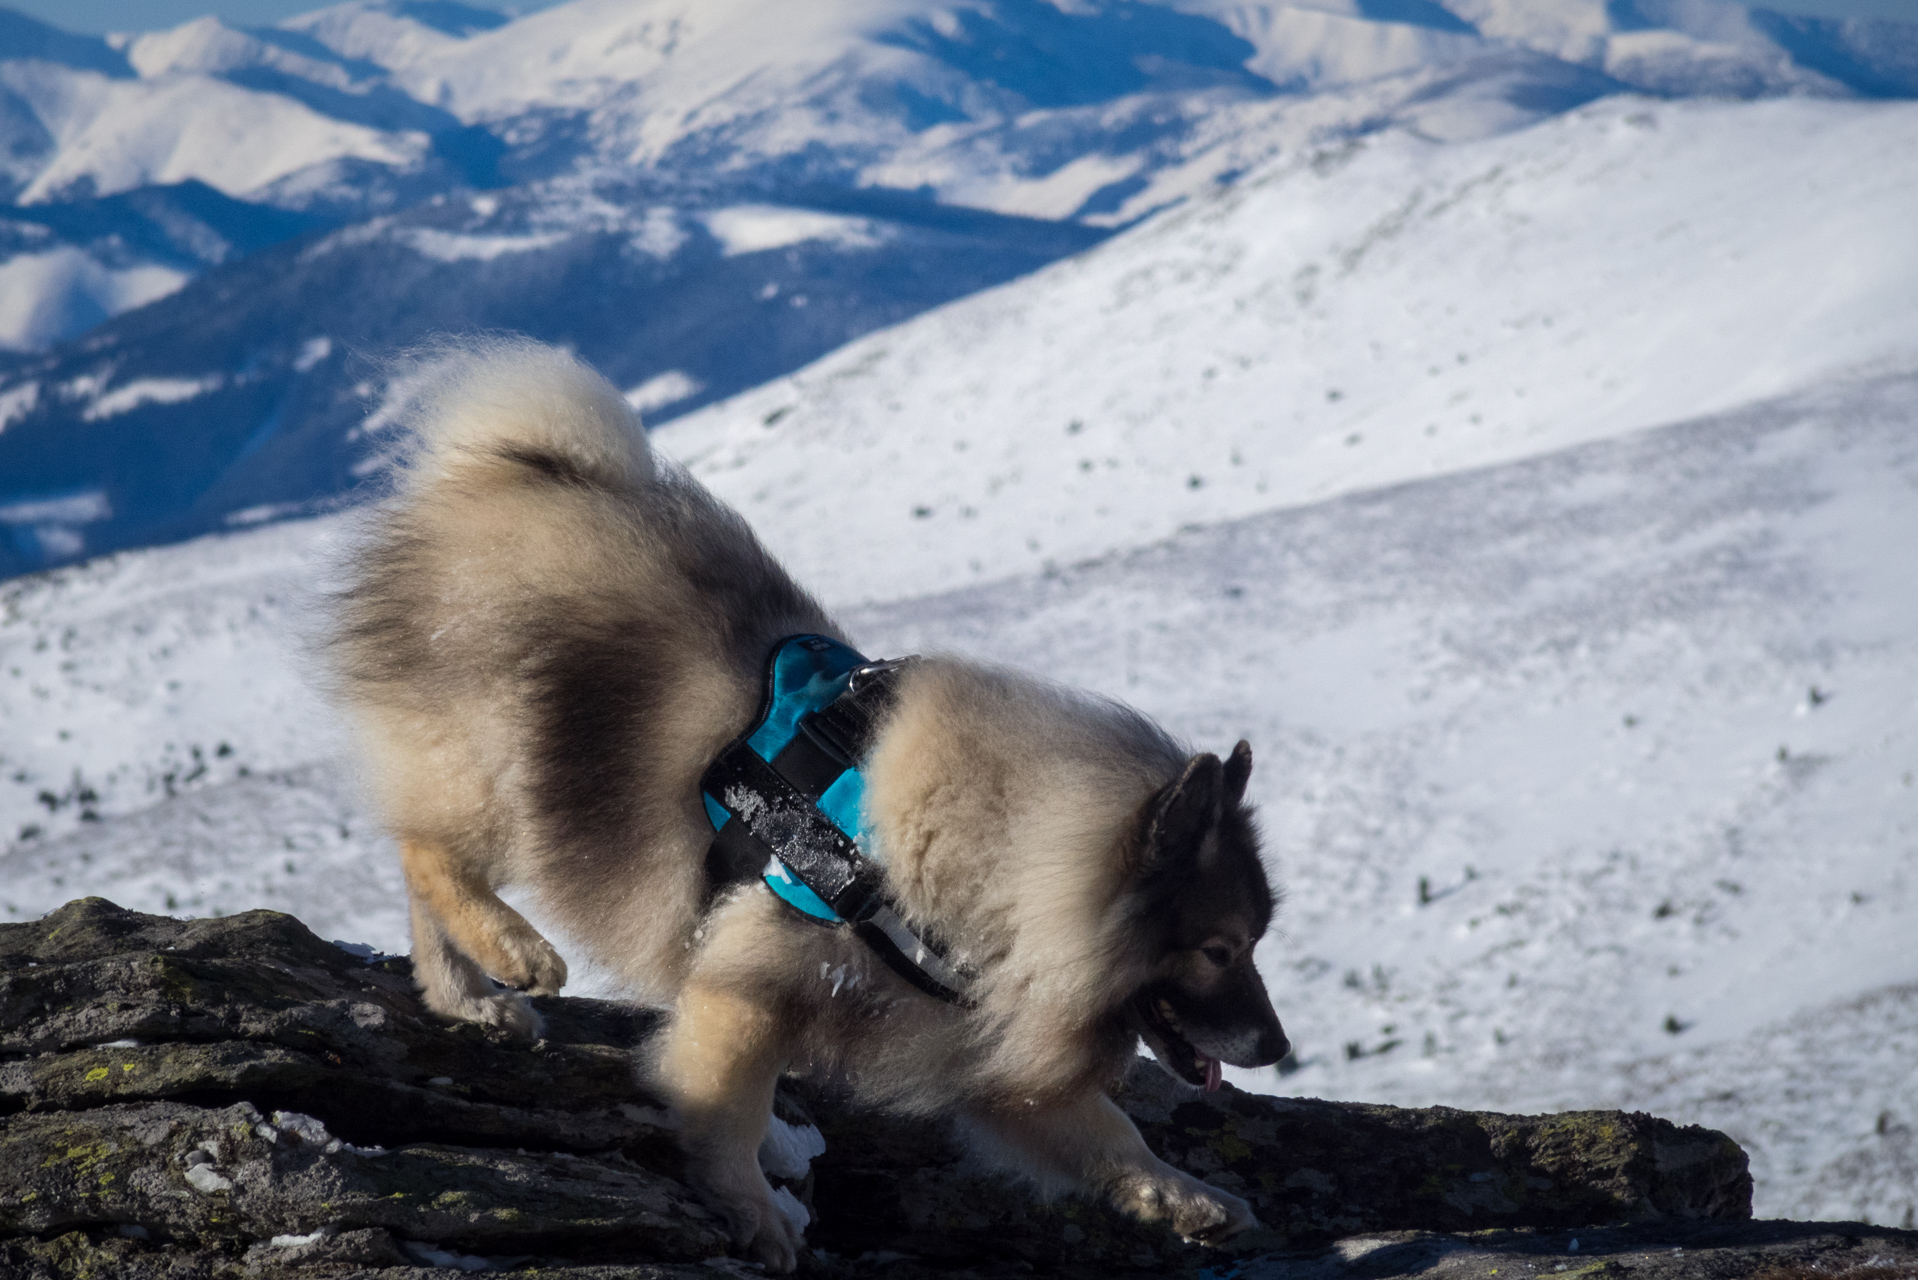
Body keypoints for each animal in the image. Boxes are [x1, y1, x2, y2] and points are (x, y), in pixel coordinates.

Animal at [329, 339, 1288, 1274]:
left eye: (1253, 944)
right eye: (1218, 949)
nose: (1277, 1049)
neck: (991, 861)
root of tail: (510, 469)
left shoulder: (981, 1048)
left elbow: (1109, 1134)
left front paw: (1191, 1200)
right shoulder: (753, 986)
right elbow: (727, 1110)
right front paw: (752, 1210)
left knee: (420, 871)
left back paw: (466, 1002)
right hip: (506, 770)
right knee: (431, 857)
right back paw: (515, 952)